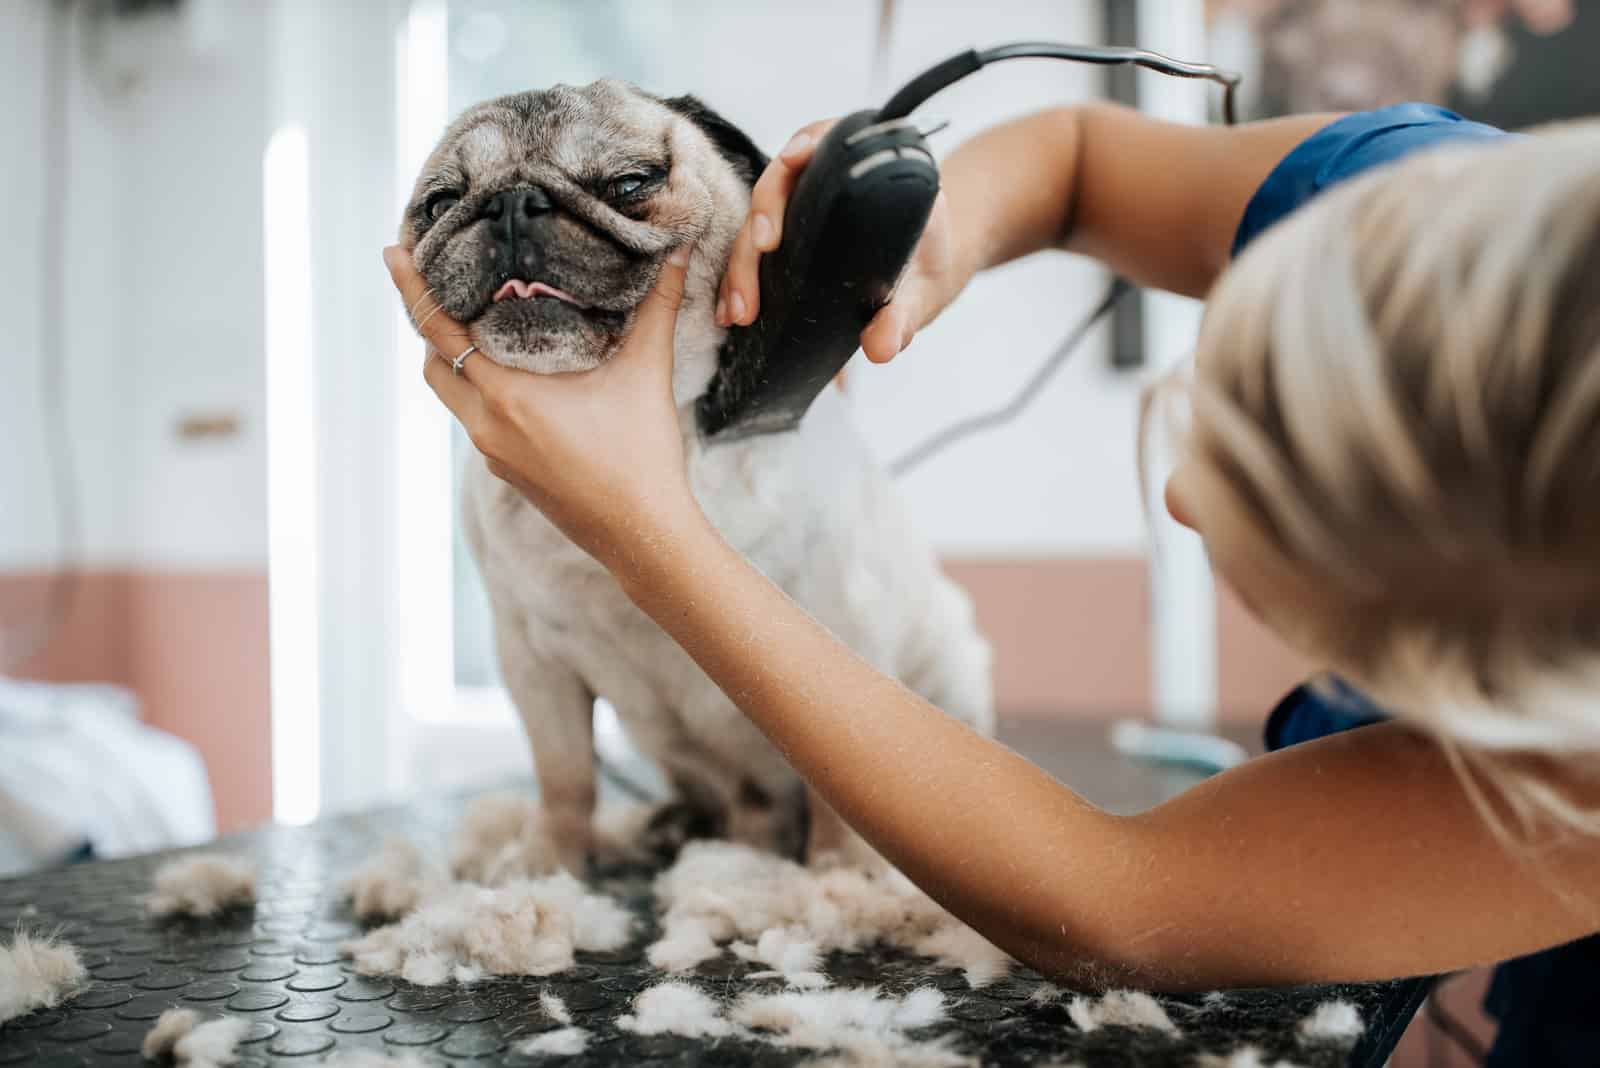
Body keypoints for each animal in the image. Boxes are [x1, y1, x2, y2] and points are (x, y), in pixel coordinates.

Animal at [400, 81, 985, 876]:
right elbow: (564, 774)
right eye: (441, 202)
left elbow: (843, 799)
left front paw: (840, 873)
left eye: (631, 184)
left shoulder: (846, 626)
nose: (512, 203)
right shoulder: (531, 660)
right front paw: (549, 859)